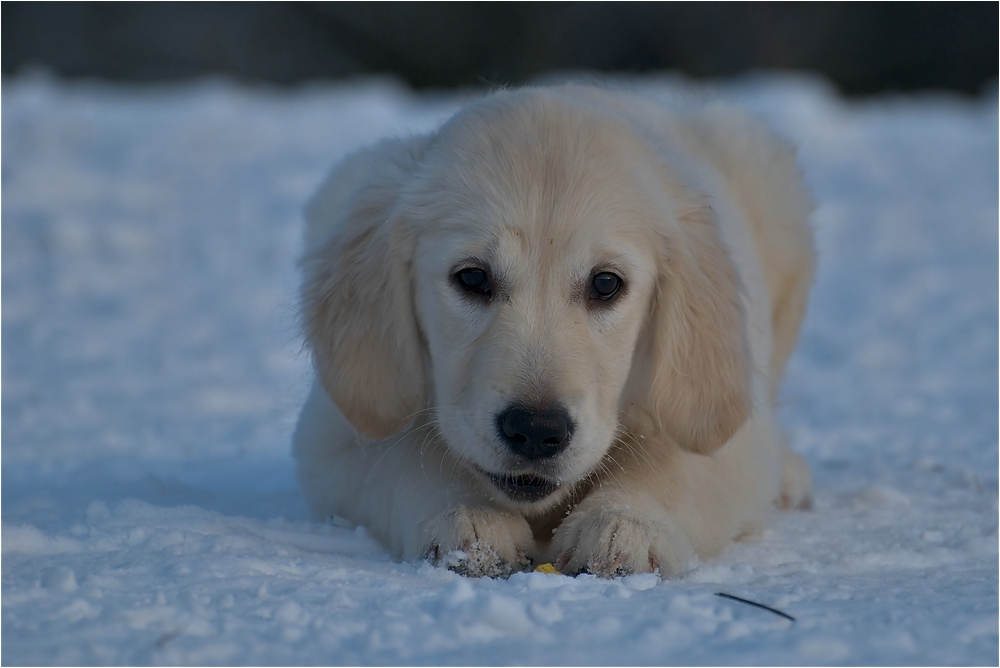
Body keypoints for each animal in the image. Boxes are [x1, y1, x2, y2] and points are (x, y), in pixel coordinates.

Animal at [292, 83, 816, 576]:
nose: (536, 431)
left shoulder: (723, 429)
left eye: (605, 283)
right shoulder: (337, 433)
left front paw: (623, 525)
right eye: (473, 277)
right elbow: (406, 451)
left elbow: (673, 460)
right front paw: (469, 518)